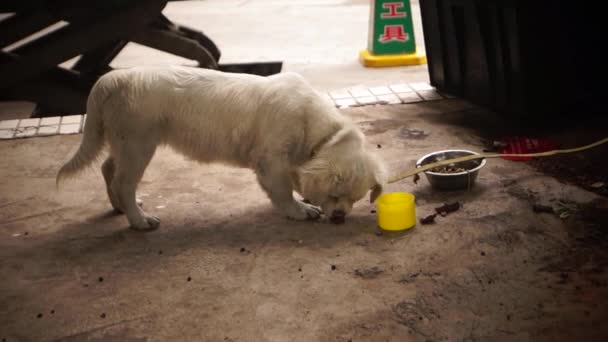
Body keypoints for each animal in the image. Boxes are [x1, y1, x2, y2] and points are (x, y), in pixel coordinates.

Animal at [55, 67, 384, 230]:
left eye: (353, 199)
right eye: (335, 195)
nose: (340, 216)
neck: (314, 124)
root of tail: (110, 79)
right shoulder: (271, 161)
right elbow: (282, 191)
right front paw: (300, 210)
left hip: (124, 142)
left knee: (108, 169)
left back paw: (122, 208)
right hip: (138, 143)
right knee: (123, 182)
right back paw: (139, 220)